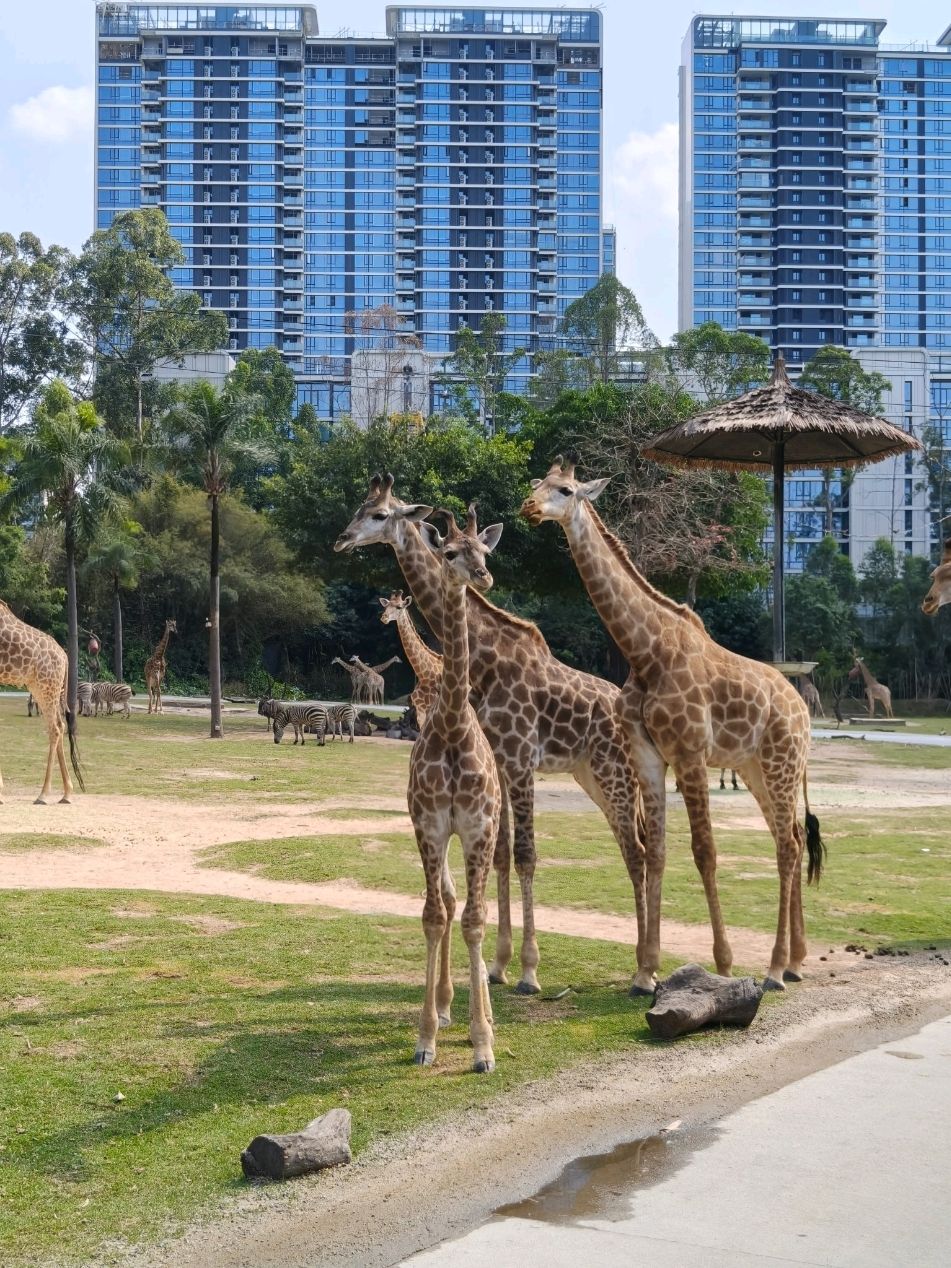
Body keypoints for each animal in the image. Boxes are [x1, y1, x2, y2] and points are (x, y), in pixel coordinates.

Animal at [0, 601, 84, 803]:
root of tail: (65, 657)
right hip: (41, 688)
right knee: (60, 725)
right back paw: (66, 794)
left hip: (46, 686)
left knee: (55, 728)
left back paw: (44, 794)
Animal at [521, 457, 824, 991]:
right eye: (536, 483)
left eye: (564, 490)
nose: (528, 507)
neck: (645, 651)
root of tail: (802, 709)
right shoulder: (648, 755)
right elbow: (656, 851)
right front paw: (645, 971)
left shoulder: (689, 752)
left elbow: (705, 851)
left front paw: (723, 963)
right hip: (754, 768)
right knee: (784, 837)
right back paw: (794, 960)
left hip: (780, 761)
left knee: (788, 846)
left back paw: (773, 968)